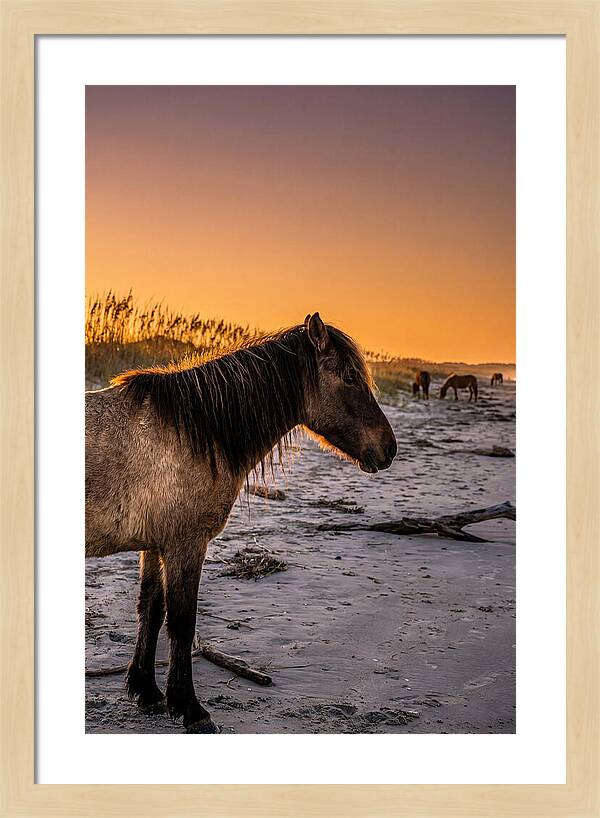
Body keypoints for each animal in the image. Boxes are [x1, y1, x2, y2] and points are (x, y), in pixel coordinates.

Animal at [85, 313, 397, 733]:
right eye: (349, 377)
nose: (389, 448)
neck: (195, 431)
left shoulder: (156, 545)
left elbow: (151, 608)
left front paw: (146, 691)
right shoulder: (186, 545)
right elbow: (182, 620)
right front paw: (190, 709)